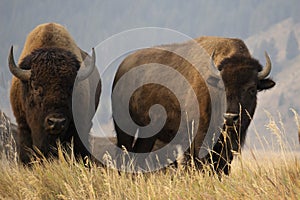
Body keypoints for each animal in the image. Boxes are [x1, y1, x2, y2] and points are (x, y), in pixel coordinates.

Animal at [111, 36, 276, 174]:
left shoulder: (227, 146)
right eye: (222, 87)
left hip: (148, 135)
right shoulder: (196, 140)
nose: (230, 117)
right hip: (124, 128)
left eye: (252, 89)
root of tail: (122, 67)